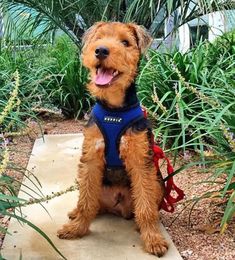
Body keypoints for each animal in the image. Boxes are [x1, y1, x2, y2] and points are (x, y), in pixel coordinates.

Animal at [57, 21, 168, 256]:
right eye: (98, 39)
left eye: (125, 42)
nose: (100, 50)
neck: (114, 109)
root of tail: (118, 206)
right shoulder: (91, 157)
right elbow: (86, 202)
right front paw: (76, 229)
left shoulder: (140, 160)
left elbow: (146, 207)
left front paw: (153, 240)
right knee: (90, 203)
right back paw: (75, 214)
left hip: (158, 183)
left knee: (145, 208)